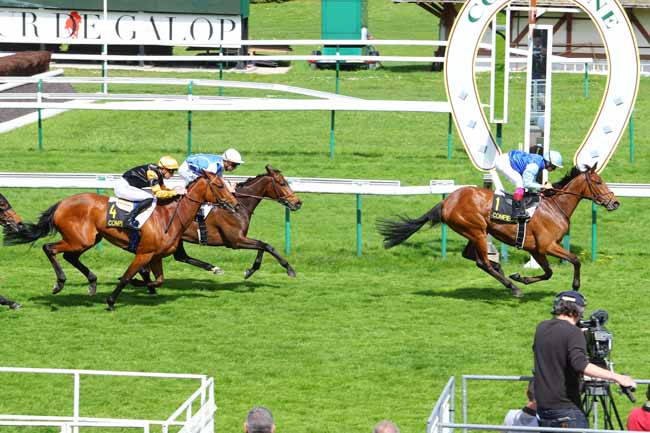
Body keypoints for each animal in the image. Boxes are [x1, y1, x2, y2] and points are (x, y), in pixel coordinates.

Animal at [3, 172, 239, 310]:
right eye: (219, 186)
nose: (235, 204)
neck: (170, 215)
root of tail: (62, 203)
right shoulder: (144, 253)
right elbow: (127, 276)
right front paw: (111, 301)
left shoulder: (156, 256)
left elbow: (158, 280)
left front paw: (142, 285)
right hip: (79, 239)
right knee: (49, 248)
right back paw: (60, 283)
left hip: (88, 239)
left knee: (69, 256)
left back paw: (92, 282)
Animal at [136, 165, 303, 285]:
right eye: (282, 183)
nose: (298, 203)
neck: (239, 205)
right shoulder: (236, 240)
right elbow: (266, 246)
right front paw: (289, 269)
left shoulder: (240, 239)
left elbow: (263, 246)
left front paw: (250, 271)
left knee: (181, 257)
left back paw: (214, 268)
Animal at [378, 165, 619, 297]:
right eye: (598, 182)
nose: (615, 202)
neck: (554, 206)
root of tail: (447, 201)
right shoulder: (547, 245)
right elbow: (575, 260)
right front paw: (575, 287)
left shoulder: (537, 249)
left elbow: (549, 272)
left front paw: (520, 276)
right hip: (476, 230)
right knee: (482, 262)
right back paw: (512, 287)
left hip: (476, 231)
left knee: (473, 257)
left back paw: (503, 273)